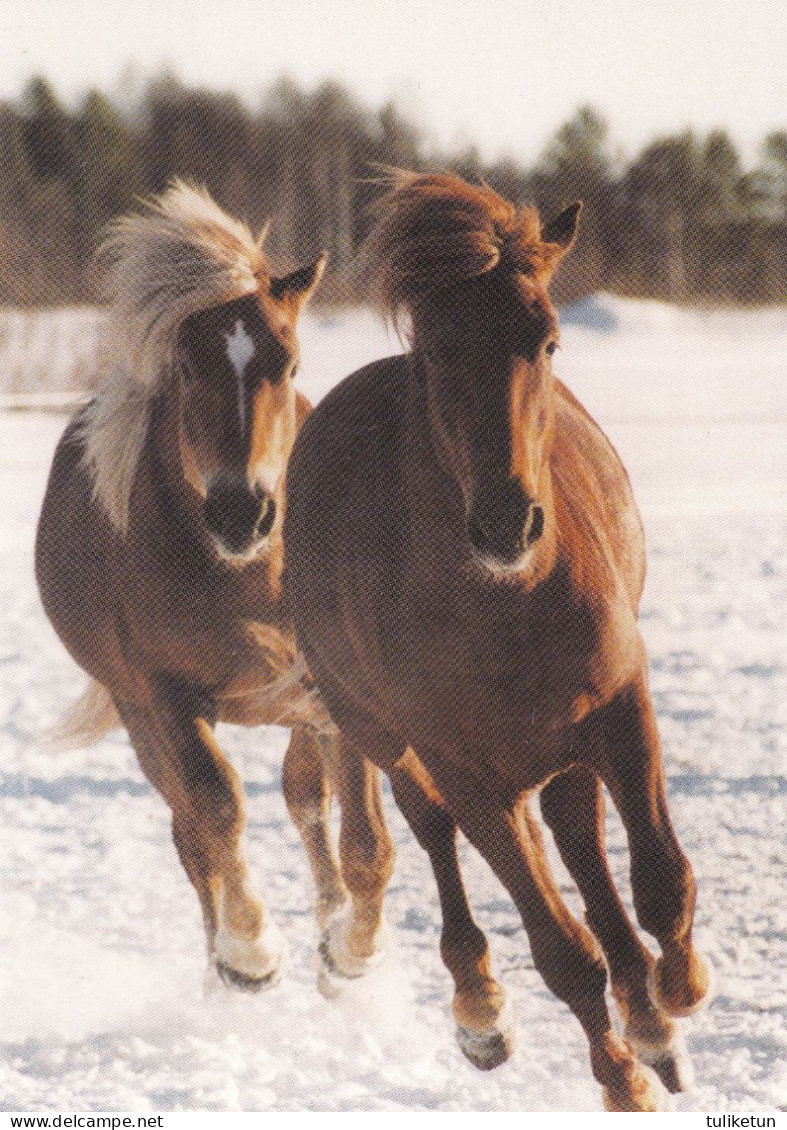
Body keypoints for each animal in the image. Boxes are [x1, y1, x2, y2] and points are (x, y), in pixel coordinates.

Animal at [36, 185, 393, 998]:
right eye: (185, 368)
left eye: (287, 363)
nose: (242, 512)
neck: (252, 576)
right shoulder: (164, 693)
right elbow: (216, 807)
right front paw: (250, 952)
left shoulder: (331, 689)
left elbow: (365, 838)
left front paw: (349, 950)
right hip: (140, 715)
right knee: (192, 833)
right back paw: (223, 968)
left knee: (302, 797)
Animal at [283, 171, 714, 1107]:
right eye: (434, 351)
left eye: (545, 340)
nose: (506, 523)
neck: (505, 608)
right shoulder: (468, 773)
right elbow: (561, 955)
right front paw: (621, 1081)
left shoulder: (621, 707)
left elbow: (660, 882)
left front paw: (677, 993)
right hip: (385, 735)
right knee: (435, 836)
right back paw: (483, 1012)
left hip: (562, 745)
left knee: (581, 841)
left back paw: (651, 1017)